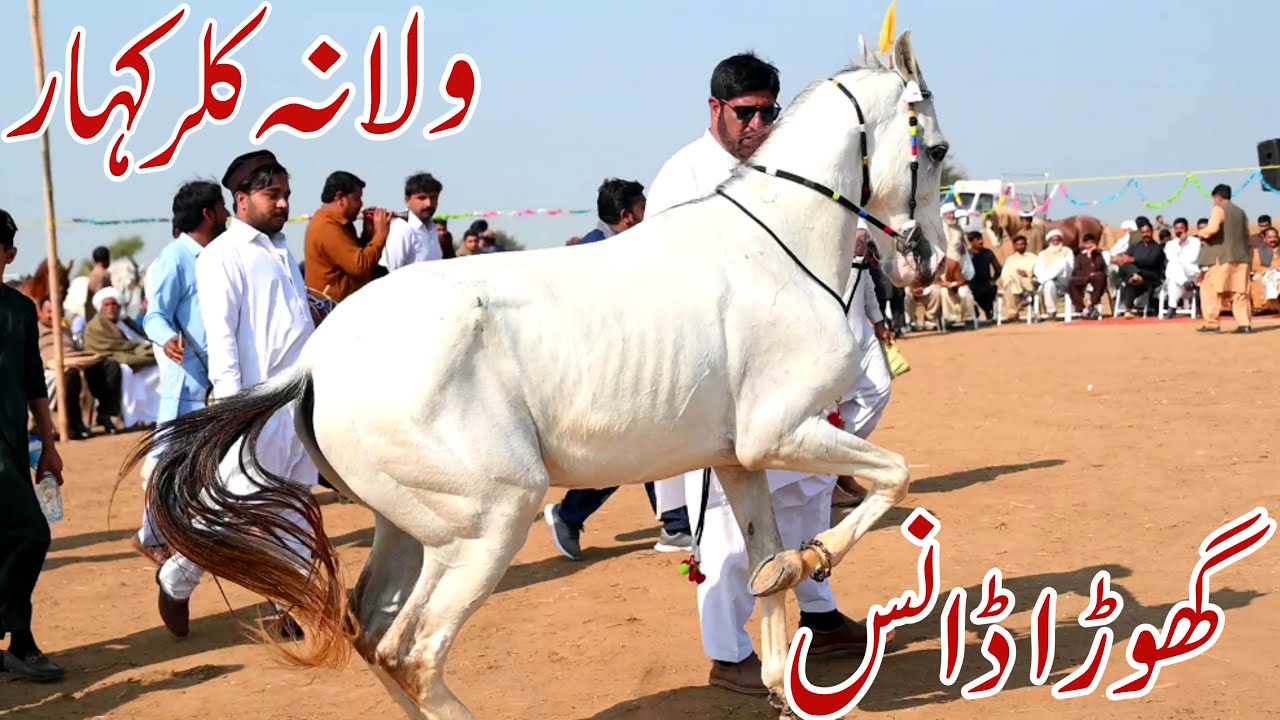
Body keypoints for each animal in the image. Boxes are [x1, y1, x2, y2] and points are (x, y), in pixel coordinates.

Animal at [124, 30, 950, 720]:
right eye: (936, 150)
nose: (931, 262)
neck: (777, 249)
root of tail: (318, 357)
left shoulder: (740, 456)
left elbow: (765, 555)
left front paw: (781, 640)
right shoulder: (784, 430)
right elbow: (894, 475)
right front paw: (811, 565)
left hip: (411, 528)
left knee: (373, 634)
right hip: (488, 520)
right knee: (413, 651)